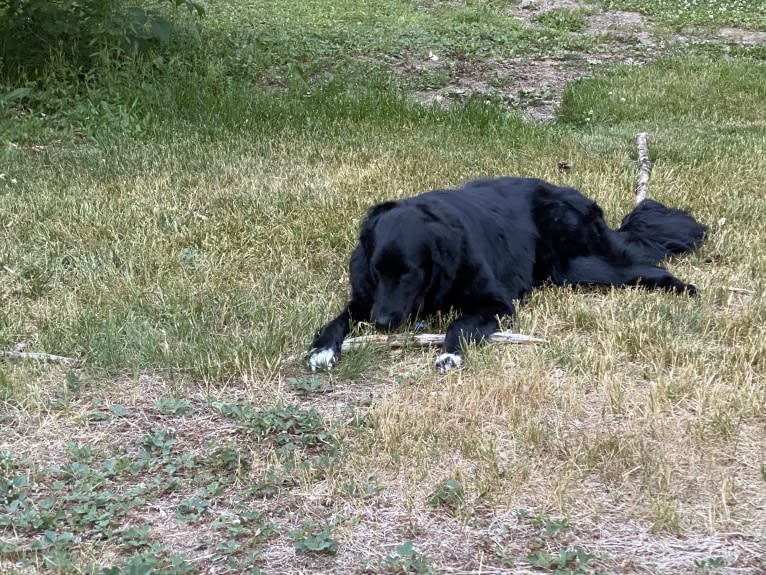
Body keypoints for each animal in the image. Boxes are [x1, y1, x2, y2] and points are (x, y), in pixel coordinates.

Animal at [308, 177, 708, 374]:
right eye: (377, 271)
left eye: (410, 274)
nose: (381, 323)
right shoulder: (365, 298)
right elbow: (336, 320)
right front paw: (322, 350)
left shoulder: (497, 303)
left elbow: (460, 325)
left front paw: (450, 355)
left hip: (575, 266)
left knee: (646, 268)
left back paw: (684, 288)